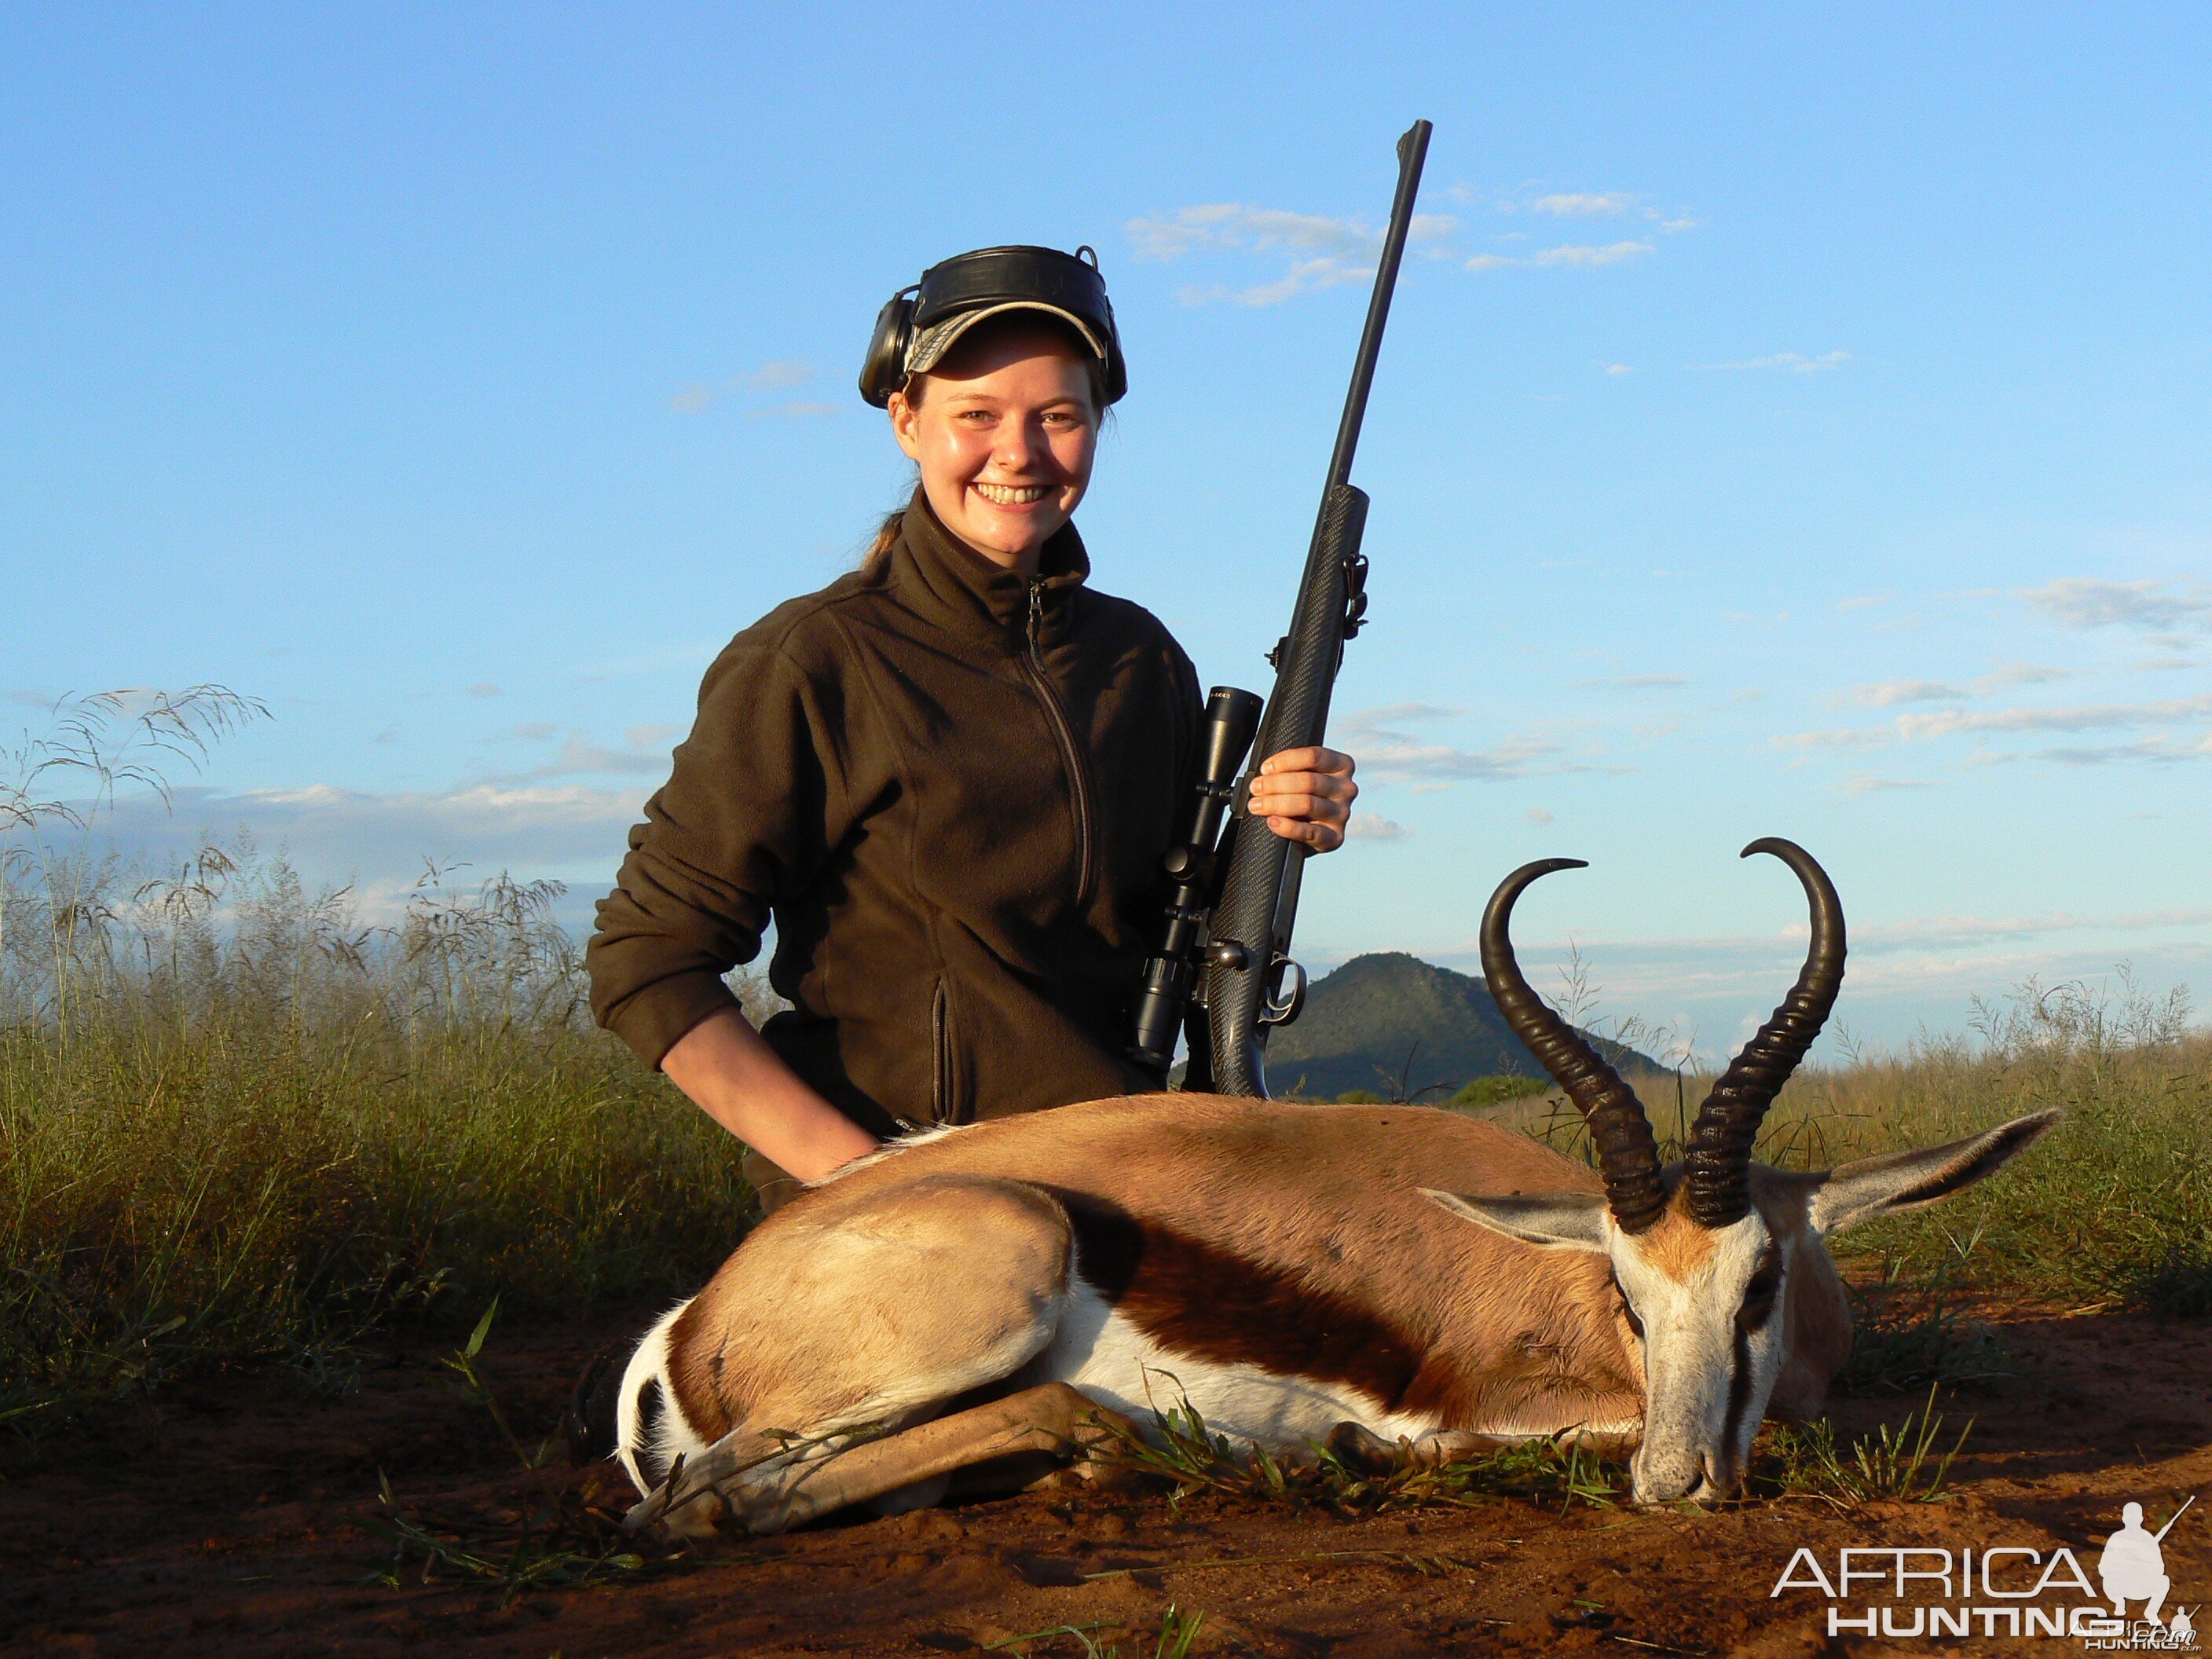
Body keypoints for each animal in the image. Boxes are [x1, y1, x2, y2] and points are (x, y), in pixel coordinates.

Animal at [570, 836, 2053, 1539]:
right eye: (1630, 1295)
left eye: (1758, 1285)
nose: (1677, 1484)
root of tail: (690, 1324)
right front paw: (1355, 1452)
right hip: (997, 1276)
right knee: (705, 1505)